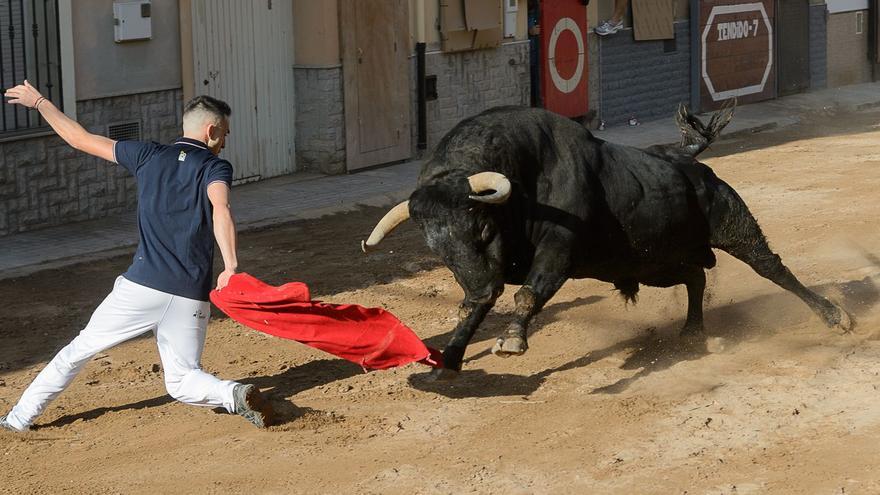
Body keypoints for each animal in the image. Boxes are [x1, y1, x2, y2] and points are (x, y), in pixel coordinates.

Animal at [360, 105, 848, 376]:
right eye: (435, 249)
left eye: (480, 228)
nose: (479, 286)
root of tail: (684, 157)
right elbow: (477, 306)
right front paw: (451, 358)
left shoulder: (558, 250)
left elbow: (526, 293)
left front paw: (512, 341)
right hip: (651, 263)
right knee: (695, 277)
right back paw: (693, 333)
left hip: (731, 223)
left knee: (770, 266)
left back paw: (833, 316)